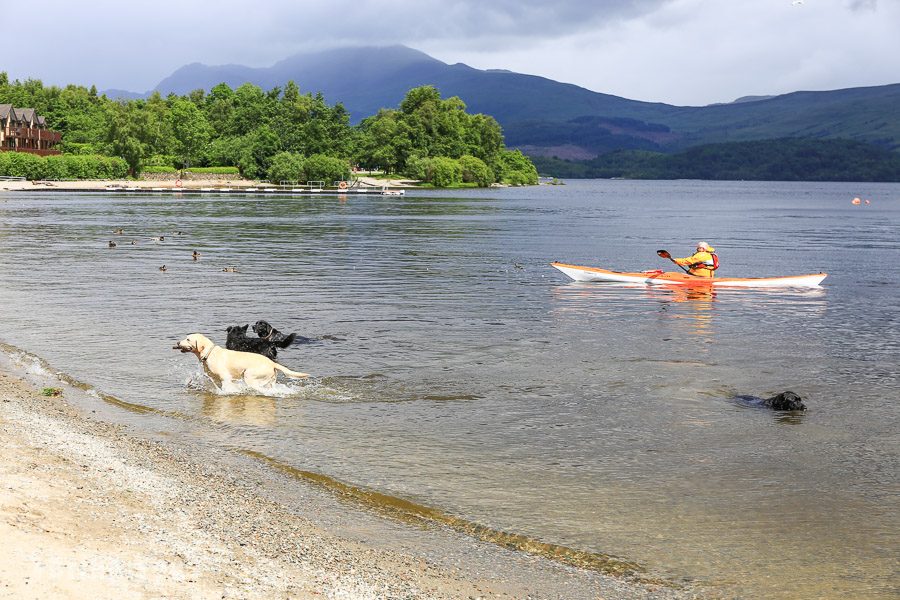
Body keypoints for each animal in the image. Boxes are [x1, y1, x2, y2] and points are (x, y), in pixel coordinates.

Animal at [174, 332, 312, 394]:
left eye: (188, 339)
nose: (177, 343)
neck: (210, 353)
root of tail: (272, 363)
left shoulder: (225, 378)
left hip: (249, 376)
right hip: (269, 381)